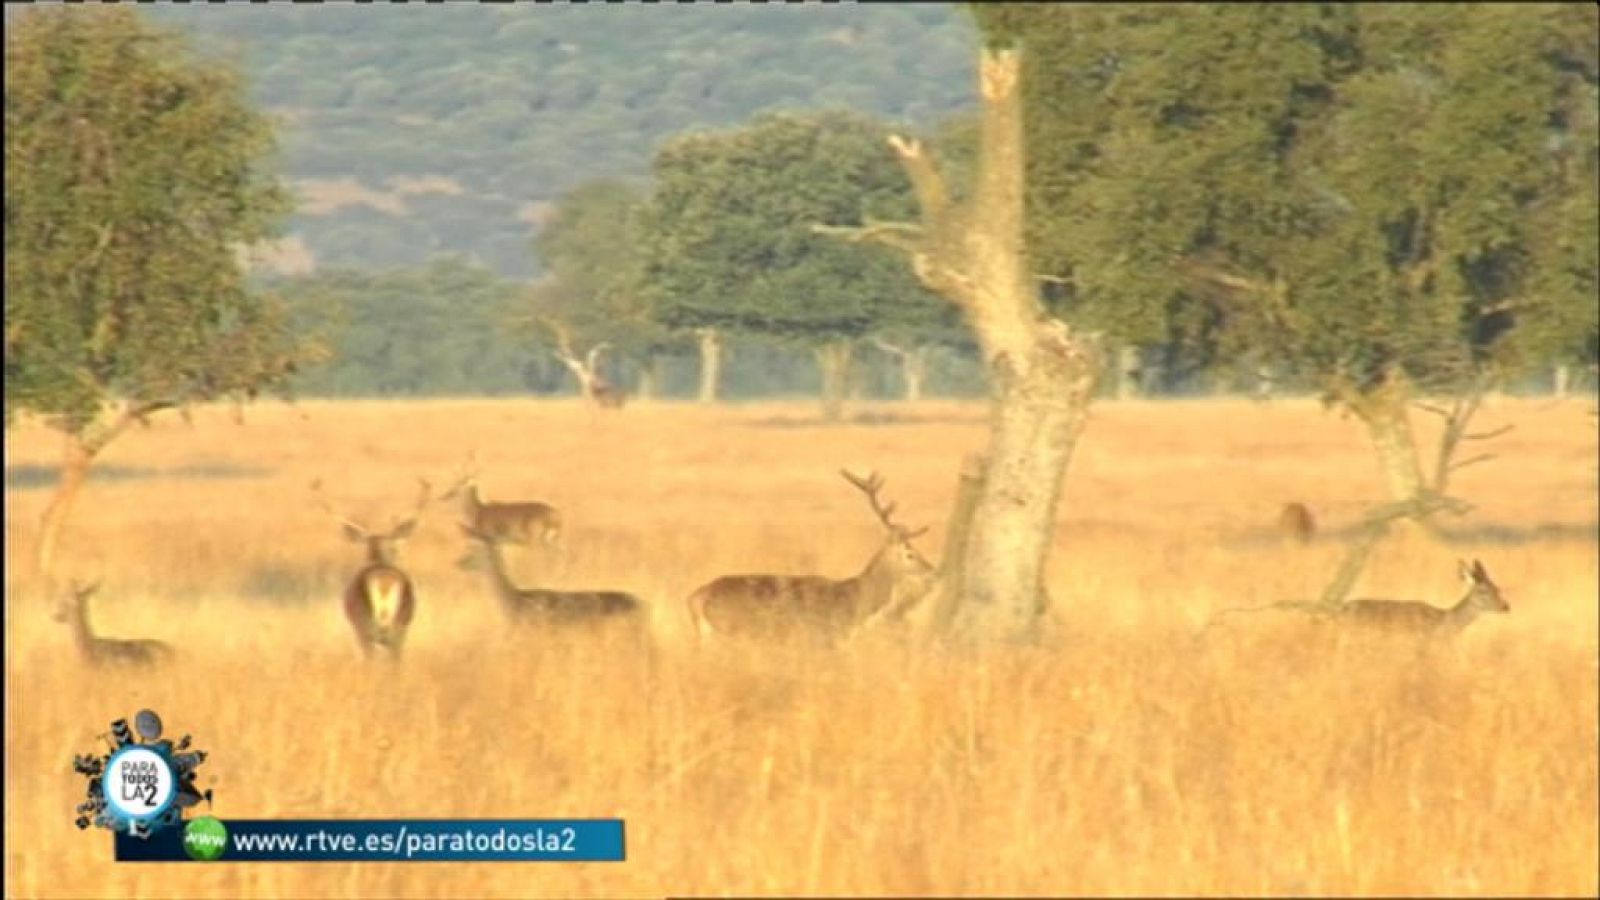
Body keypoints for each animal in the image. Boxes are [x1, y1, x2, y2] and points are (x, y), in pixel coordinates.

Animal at [684, 470, 934, 643]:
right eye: (910, 553)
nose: (931, 569)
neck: (849, 600)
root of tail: (695, 598)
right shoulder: (820, 637)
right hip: (730, 632)